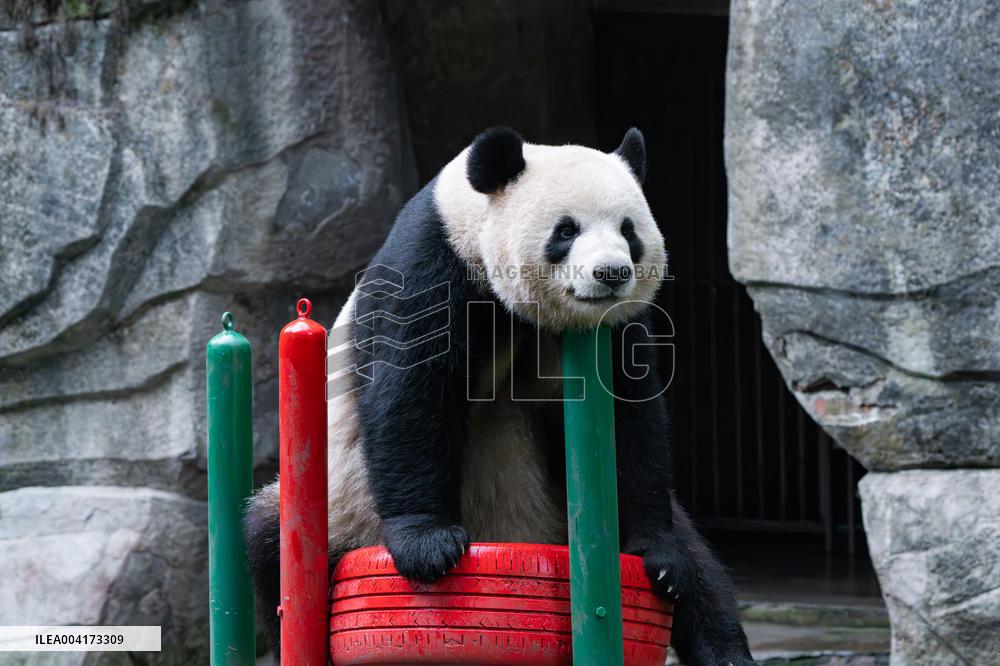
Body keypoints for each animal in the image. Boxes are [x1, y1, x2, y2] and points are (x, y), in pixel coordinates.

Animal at [244, 127, 755, 666]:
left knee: (701, 568)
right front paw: (427, 546)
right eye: (566, 230)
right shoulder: (434, 262)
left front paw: (657, 556)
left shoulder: (614, 330)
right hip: (340, 502)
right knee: (274, 548)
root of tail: (520, 539)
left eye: (629, 230)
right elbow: (410, 393)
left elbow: (631, 419)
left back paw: (716, 639)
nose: (612, 273)